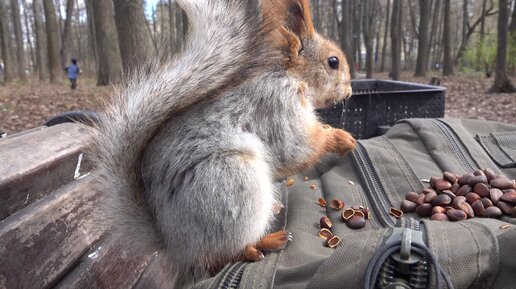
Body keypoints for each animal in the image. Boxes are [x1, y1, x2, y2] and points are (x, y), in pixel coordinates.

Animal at [88, 0, 354, 280]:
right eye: (333, 62)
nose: (350, 91)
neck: (290, 76)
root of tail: (175, 245)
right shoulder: (277, 106)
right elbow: (297, 148)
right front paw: (340, 137)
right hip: (233, 181)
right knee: (224, 255)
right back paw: (263, 243)